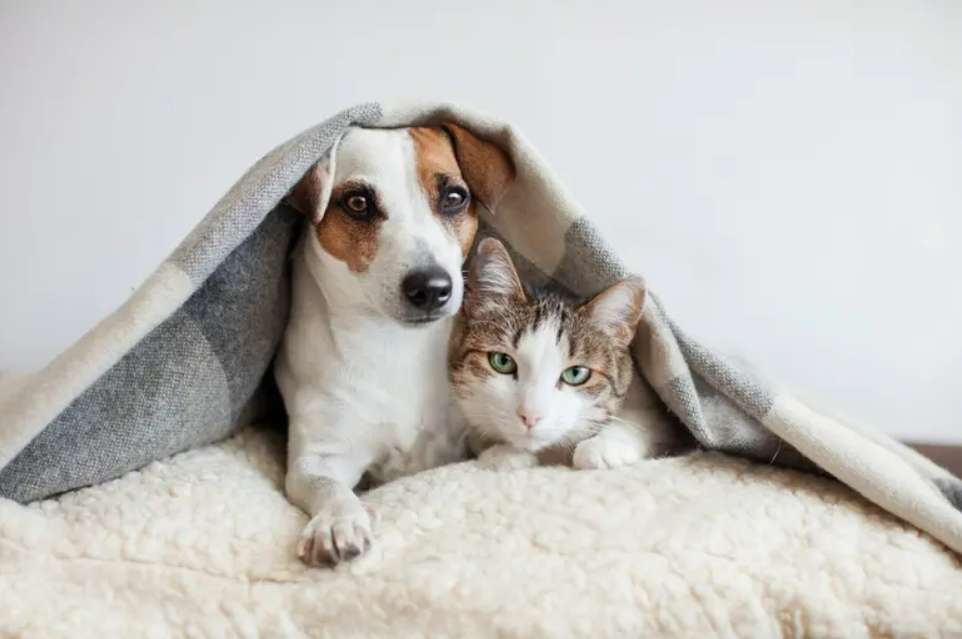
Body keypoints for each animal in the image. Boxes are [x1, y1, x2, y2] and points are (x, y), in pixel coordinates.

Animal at [274, 122, 512, 568]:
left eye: (454, 198)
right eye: (358, 203)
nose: (431, 287)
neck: (396, 347)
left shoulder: (476, 430)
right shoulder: (318, 457)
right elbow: (327, 487)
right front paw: (338, 521)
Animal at [448, 239, 680, 470]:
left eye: (576, 373)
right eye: (502, 361)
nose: (531, 416)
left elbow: (645, 419)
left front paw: (603, 445)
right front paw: (502, 452)